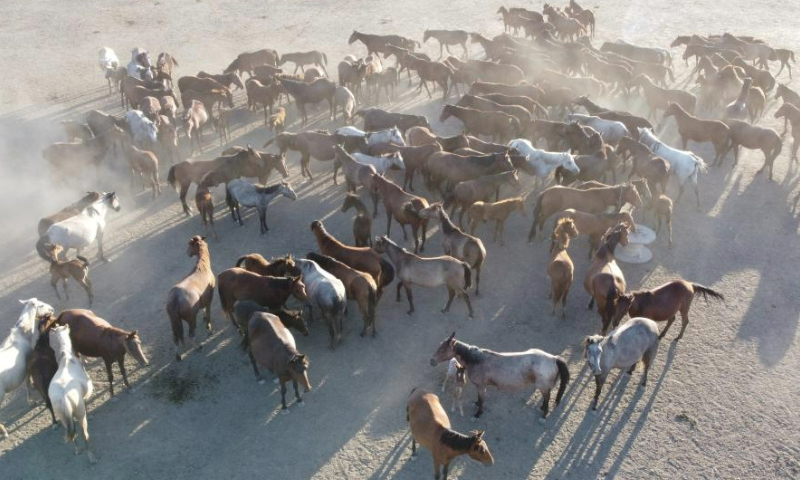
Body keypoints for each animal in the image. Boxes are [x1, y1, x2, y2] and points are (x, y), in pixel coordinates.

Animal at [0, 300, 54, 438]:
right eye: (40, 305)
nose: (52, 309)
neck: (21, 335)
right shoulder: (28, 368)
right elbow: (28, 384)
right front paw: (31, 401)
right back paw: (5, 432)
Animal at [48, 324, 96, 464]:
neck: (67, 359)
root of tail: (63, 398)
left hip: (64, 419)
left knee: (73, 434)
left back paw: (77, 450)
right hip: (80, 416)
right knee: (84, 434)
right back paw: (91, 456)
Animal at [432, 332, 568, 422]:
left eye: (443, 349)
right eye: (438, 346)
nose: (431, 361)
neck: (476, 360)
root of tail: (554, 359)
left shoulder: (481, 386)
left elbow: (482, 400)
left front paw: (477, 414)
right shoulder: (481, 387)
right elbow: (479, 399)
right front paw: (476, 404)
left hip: (543, 387)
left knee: (547, 398)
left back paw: (544, 416)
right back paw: (542, 408)